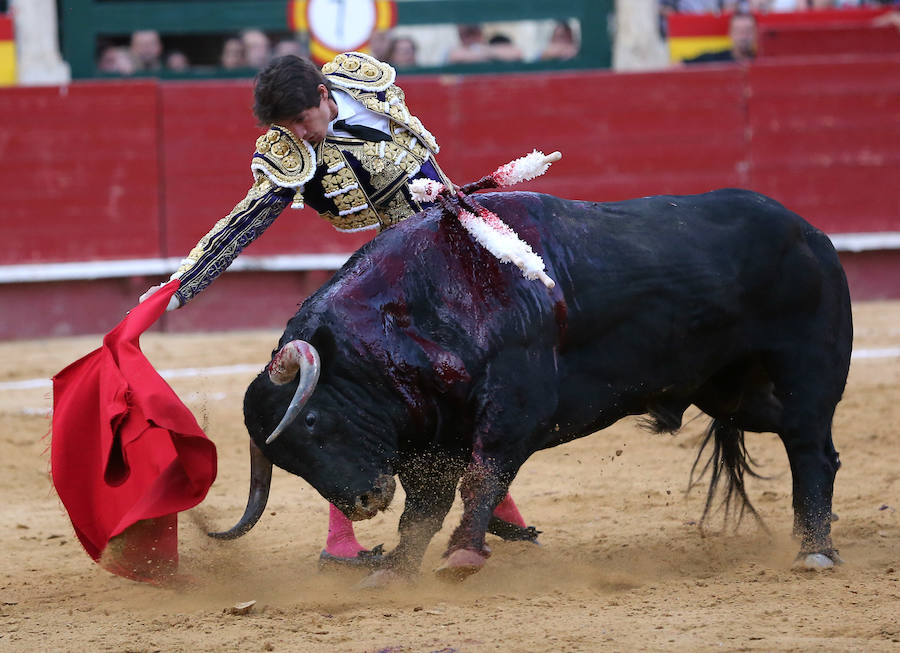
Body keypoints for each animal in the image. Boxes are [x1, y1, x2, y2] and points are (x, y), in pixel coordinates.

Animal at [209, 187, 852, 576]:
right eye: (287, 460)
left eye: (314, 420)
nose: (362, 503)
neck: (418, 310)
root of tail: (811, 232)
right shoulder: (433, 440)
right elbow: (424, 507)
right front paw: (395, 570)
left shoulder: (515, 409)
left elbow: (482, 477)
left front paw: (461, 558)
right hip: (730, 392)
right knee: (805, 441)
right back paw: (814, 536)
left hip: (805, 367)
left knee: (810, 446)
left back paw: (815, 551)